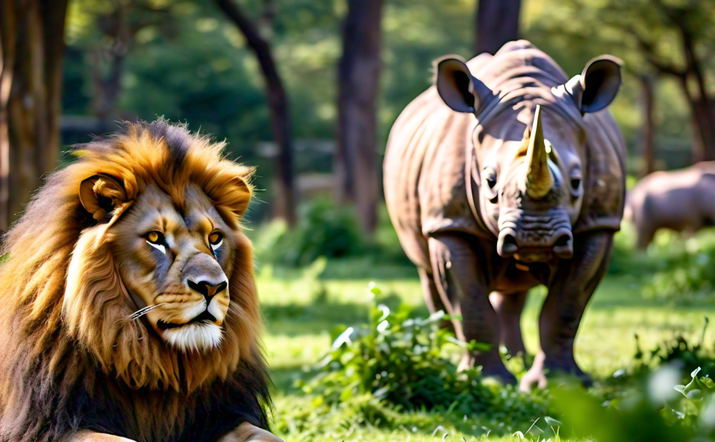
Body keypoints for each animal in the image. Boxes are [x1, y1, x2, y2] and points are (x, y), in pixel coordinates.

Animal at [0, 121, 282, 442]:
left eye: (214, 238)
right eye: (155, 238)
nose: (212, 287)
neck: (152, 362)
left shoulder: (224, 415)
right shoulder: (46, 424)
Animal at [383, 40, 625, 390]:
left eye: (577, 182)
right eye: (489, 181)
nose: (535, 237)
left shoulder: (598, 224)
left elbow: (566, 305)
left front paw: (559, 384)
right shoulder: (451, 224)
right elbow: (470, 303)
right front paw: (488, 382)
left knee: (515, 287)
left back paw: (518, 360)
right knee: (428, 273)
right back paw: (446, 357)